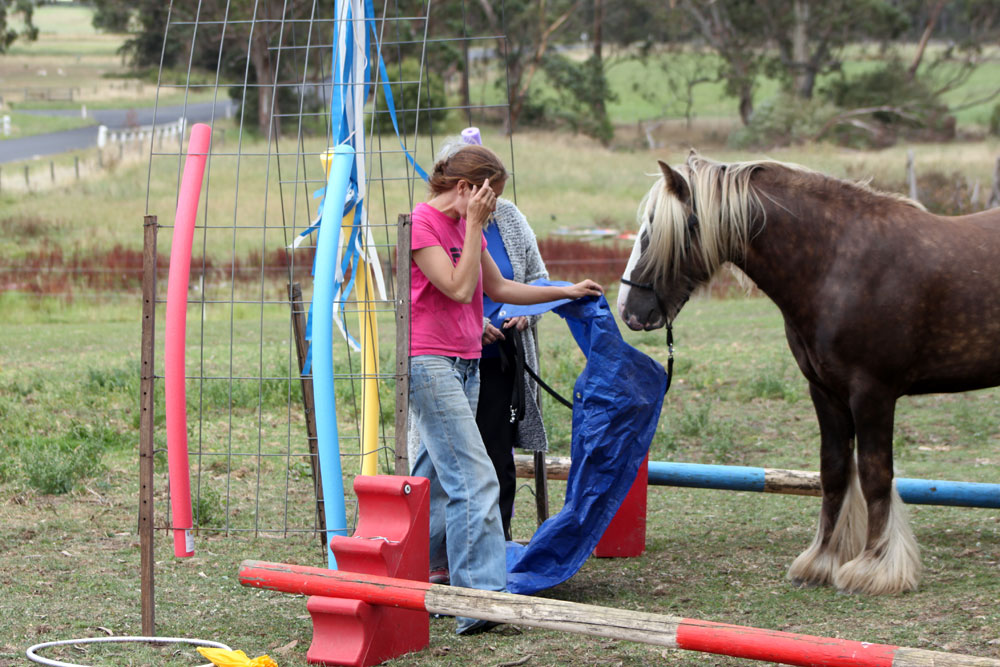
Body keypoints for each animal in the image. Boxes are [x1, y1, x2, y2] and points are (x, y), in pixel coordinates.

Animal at [616, 153, 1000, 596]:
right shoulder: (825, 391)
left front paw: (875, 568)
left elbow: (875, 475)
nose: (629, 309)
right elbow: (833, 472)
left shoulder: (872, 393)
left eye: (656, 229)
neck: (838, 262)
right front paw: (822, 561)